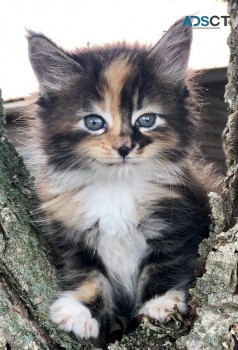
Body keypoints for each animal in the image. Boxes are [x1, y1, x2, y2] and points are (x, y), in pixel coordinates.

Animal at [26, 19, 221, 348]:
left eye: (146, 120)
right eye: (94, 122)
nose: (124, 147)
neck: (116, 188)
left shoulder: (179, 219)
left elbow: (166, 264)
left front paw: (160, 303)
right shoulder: (70, 230)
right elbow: (86, 274)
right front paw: (81, 311)